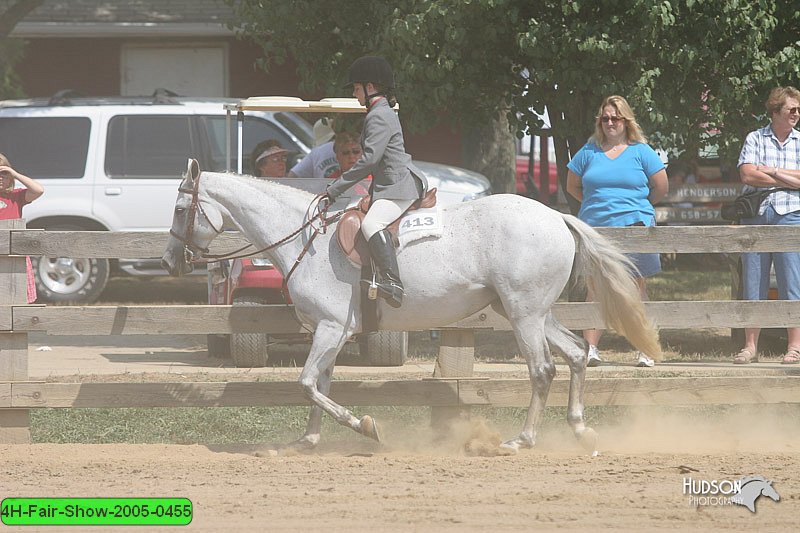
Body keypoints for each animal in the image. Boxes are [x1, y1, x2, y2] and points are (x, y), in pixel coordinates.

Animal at [159, 159, 660, 454]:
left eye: (181, 210)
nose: (168, 262)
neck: (307, 239)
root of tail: (555, 215)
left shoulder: (330, 327)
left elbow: (306, 383)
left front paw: (365, 427)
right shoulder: (330, 332)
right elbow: (319, 383)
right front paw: (308, 440)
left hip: (524, 314)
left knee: (542, 370)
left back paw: (521, 440)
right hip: (530, 312)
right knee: (574, 355)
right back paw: (581, 431)